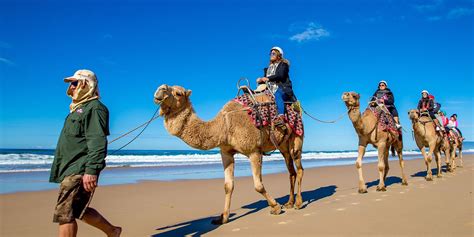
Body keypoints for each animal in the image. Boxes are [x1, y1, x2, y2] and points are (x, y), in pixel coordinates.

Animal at [154, 84, 306, 224]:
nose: (160, 90)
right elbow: (228, 186)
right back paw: (289, 203)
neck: (224, 125)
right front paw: (223, 218)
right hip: (283, 146)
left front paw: (275, 207)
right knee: (291, 171)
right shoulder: (226, 152)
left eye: (178, 93)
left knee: (299, 168)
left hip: (296, 138)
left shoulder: (254, 151)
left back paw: (298, 203)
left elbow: (258, 185)